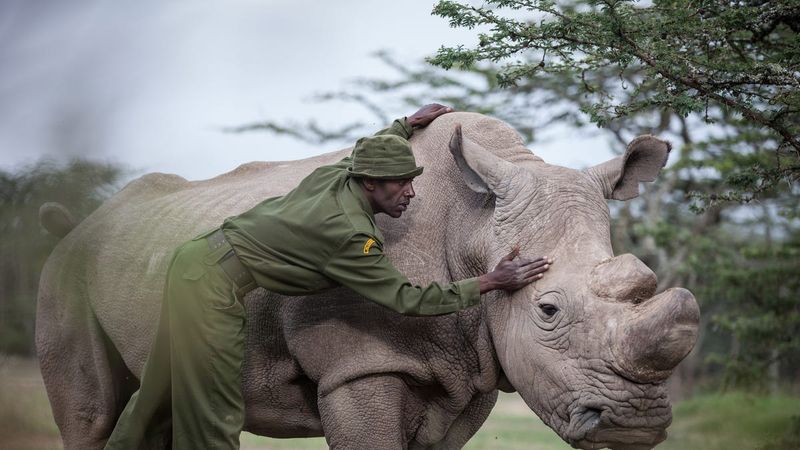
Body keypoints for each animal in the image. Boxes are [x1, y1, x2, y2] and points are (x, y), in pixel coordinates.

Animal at [36, 111, 700, 446]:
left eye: (645, 279)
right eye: (548, 311)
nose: (636, 425)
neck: (473, 223)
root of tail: (78, 226)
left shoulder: (470, 370)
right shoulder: (361, 362)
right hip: (66, 275)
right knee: (91, 415)